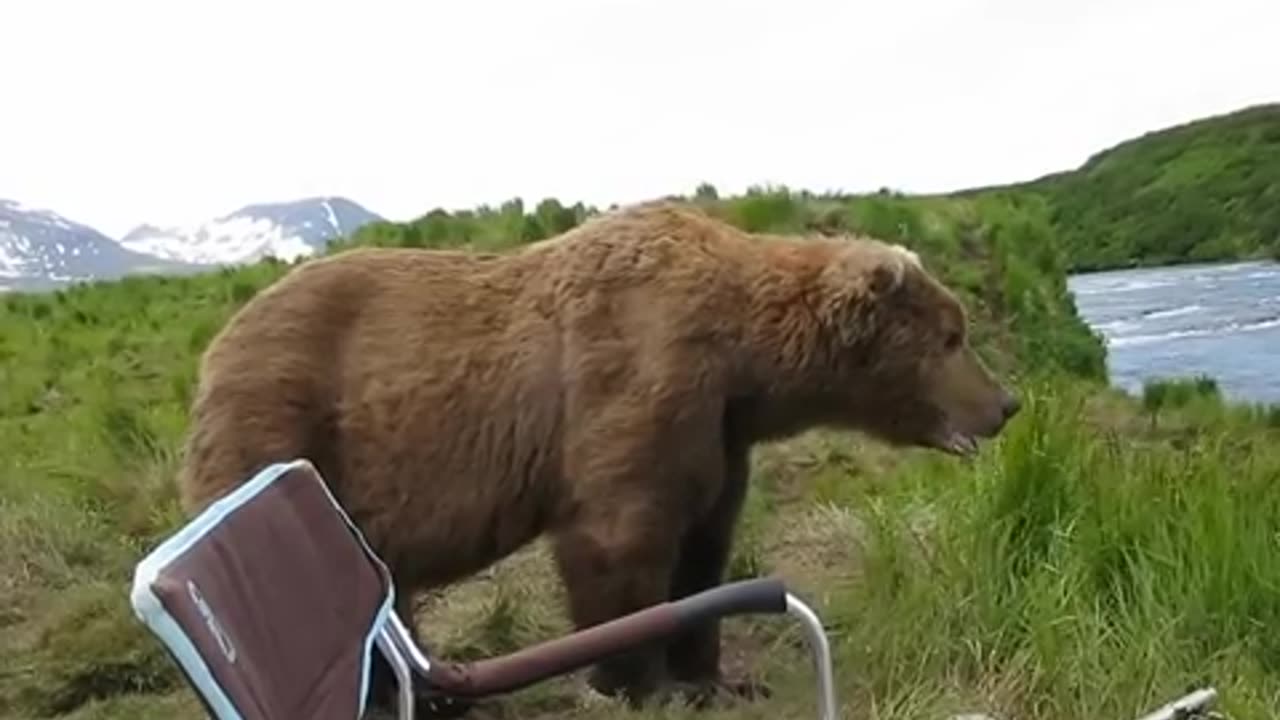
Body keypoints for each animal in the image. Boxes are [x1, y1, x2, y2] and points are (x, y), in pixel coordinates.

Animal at [176, 199, 1020, 714]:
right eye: (952, 336)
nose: (1006, 404)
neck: (744, 360)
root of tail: (216, 346)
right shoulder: (638, 379)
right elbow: (621, 541)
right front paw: (635, 679)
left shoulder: (719, 433)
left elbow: (705, 545)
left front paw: (711, 673)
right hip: (284, 423)